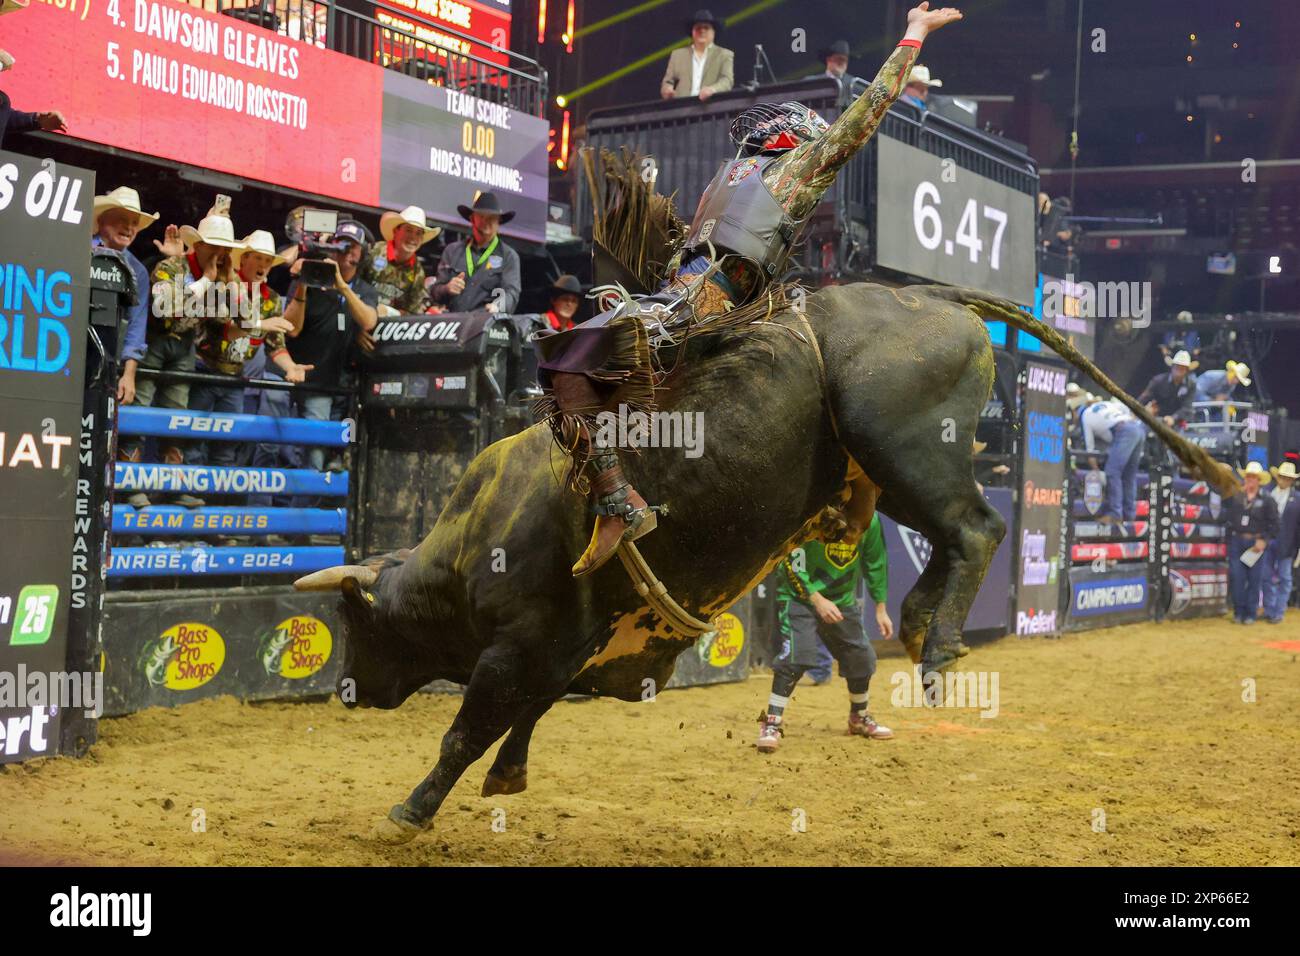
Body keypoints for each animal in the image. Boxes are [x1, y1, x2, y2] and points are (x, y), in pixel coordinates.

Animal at [295, 280, 1237, 842]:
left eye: (358, 622)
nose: (347, 690)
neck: (471, 545)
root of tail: (925, 295)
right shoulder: (557, 653)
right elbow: (523, 717)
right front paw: (509, 777)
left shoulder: (515, 647)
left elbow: (466, 729)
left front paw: (410, 810)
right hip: (889, 468)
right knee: (952, 537)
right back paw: (922, 625)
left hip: (905, 447)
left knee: (977, 527)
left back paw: (936, 646)